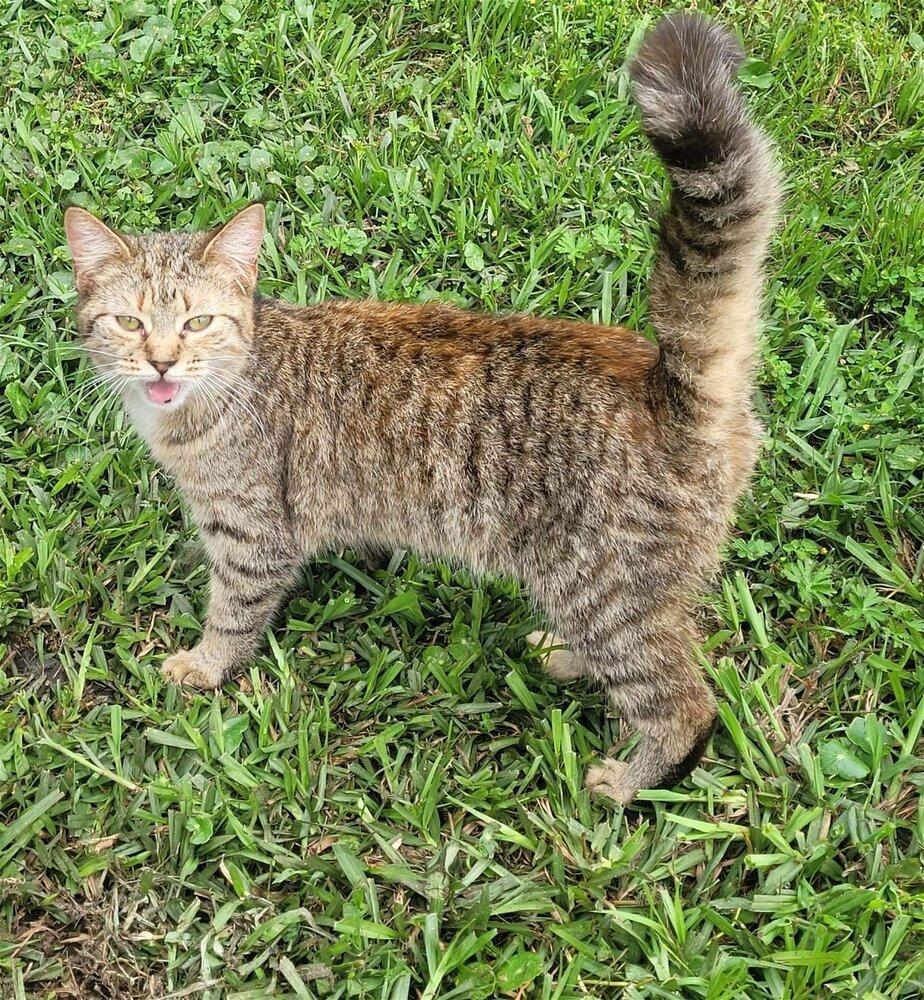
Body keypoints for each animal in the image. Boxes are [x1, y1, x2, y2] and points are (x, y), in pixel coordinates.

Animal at [63, 13, 780, 804]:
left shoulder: (251, 536)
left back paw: (626, 783)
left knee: (683, 702)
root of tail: (666, 379)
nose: (161, 361)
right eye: (129, 322)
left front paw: (204, 665)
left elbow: (233, 614)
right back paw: (566, 658)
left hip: (605, 589)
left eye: (197, 323)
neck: (217, 394)